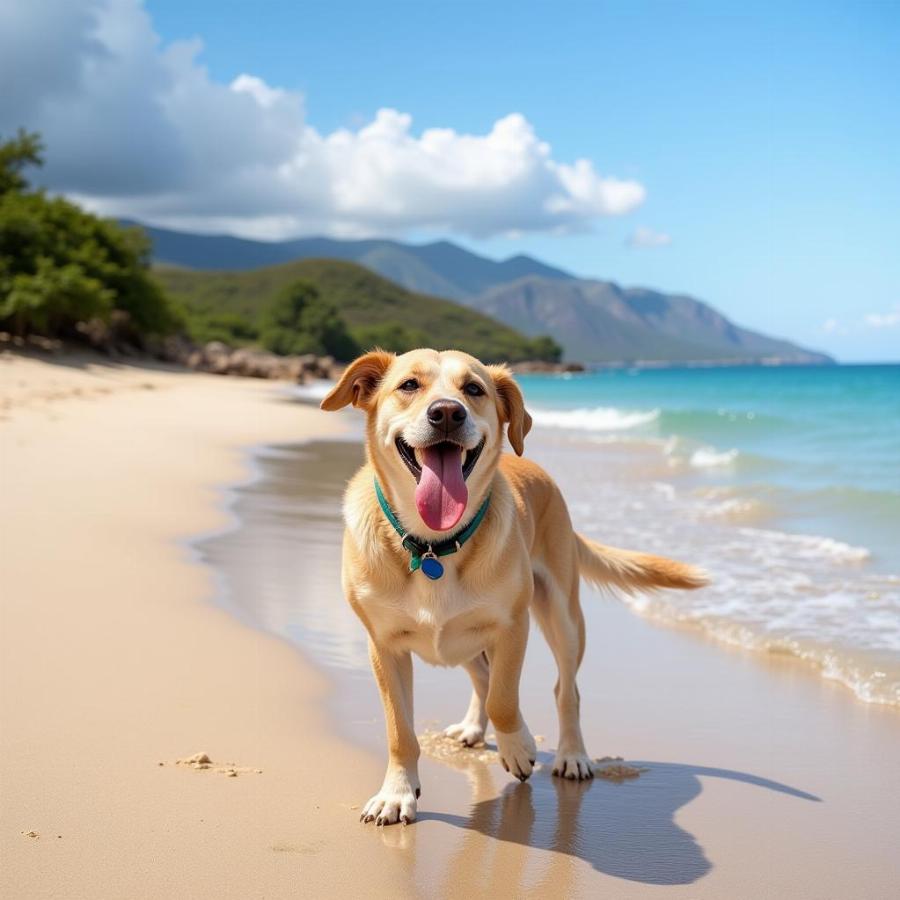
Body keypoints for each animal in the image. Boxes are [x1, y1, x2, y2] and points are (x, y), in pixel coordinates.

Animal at [320, 348, 708, 828]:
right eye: (409, 385)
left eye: (473, 388)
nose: (447, 413)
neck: (432, 545)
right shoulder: (384, 646)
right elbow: (400, 731)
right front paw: (397, 794)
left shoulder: (512, 626)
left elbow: (504, 700)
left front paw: (519, 746)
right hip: (465, 639)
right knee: (482, 677)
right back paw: (473, 729)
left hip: (562, 615)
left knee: (565, 689)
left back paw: (572, 755)